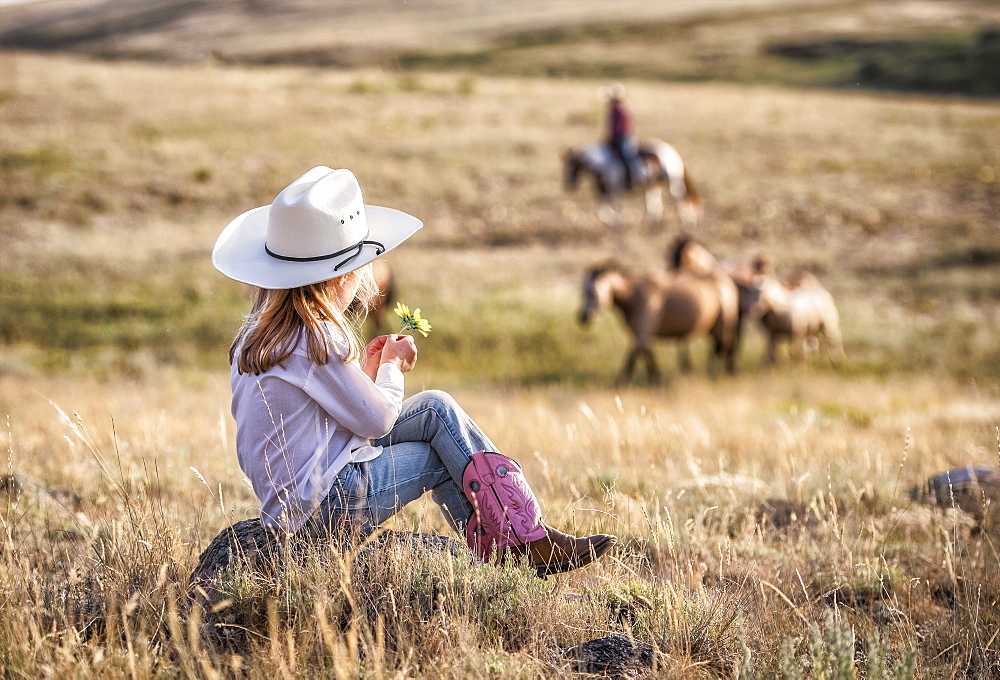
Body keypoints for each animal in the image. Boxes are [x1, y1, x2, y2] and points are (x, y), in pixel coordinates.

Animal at [584, 260, 740, 386]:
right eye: (583, 291)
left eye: (593, 292)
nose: (583, 317)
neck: (634, 297)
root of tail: (727, 281)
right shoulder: (642, 334)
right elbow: (647, 354)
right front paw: (654, 381)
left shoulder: (642, 333)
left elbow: (633, 356)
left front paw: (621, 383)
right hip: (713, 327)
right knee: (718, 348)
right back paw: (713, 372)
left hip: (723, 325)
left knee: (727, 346)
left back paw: (726, 373)